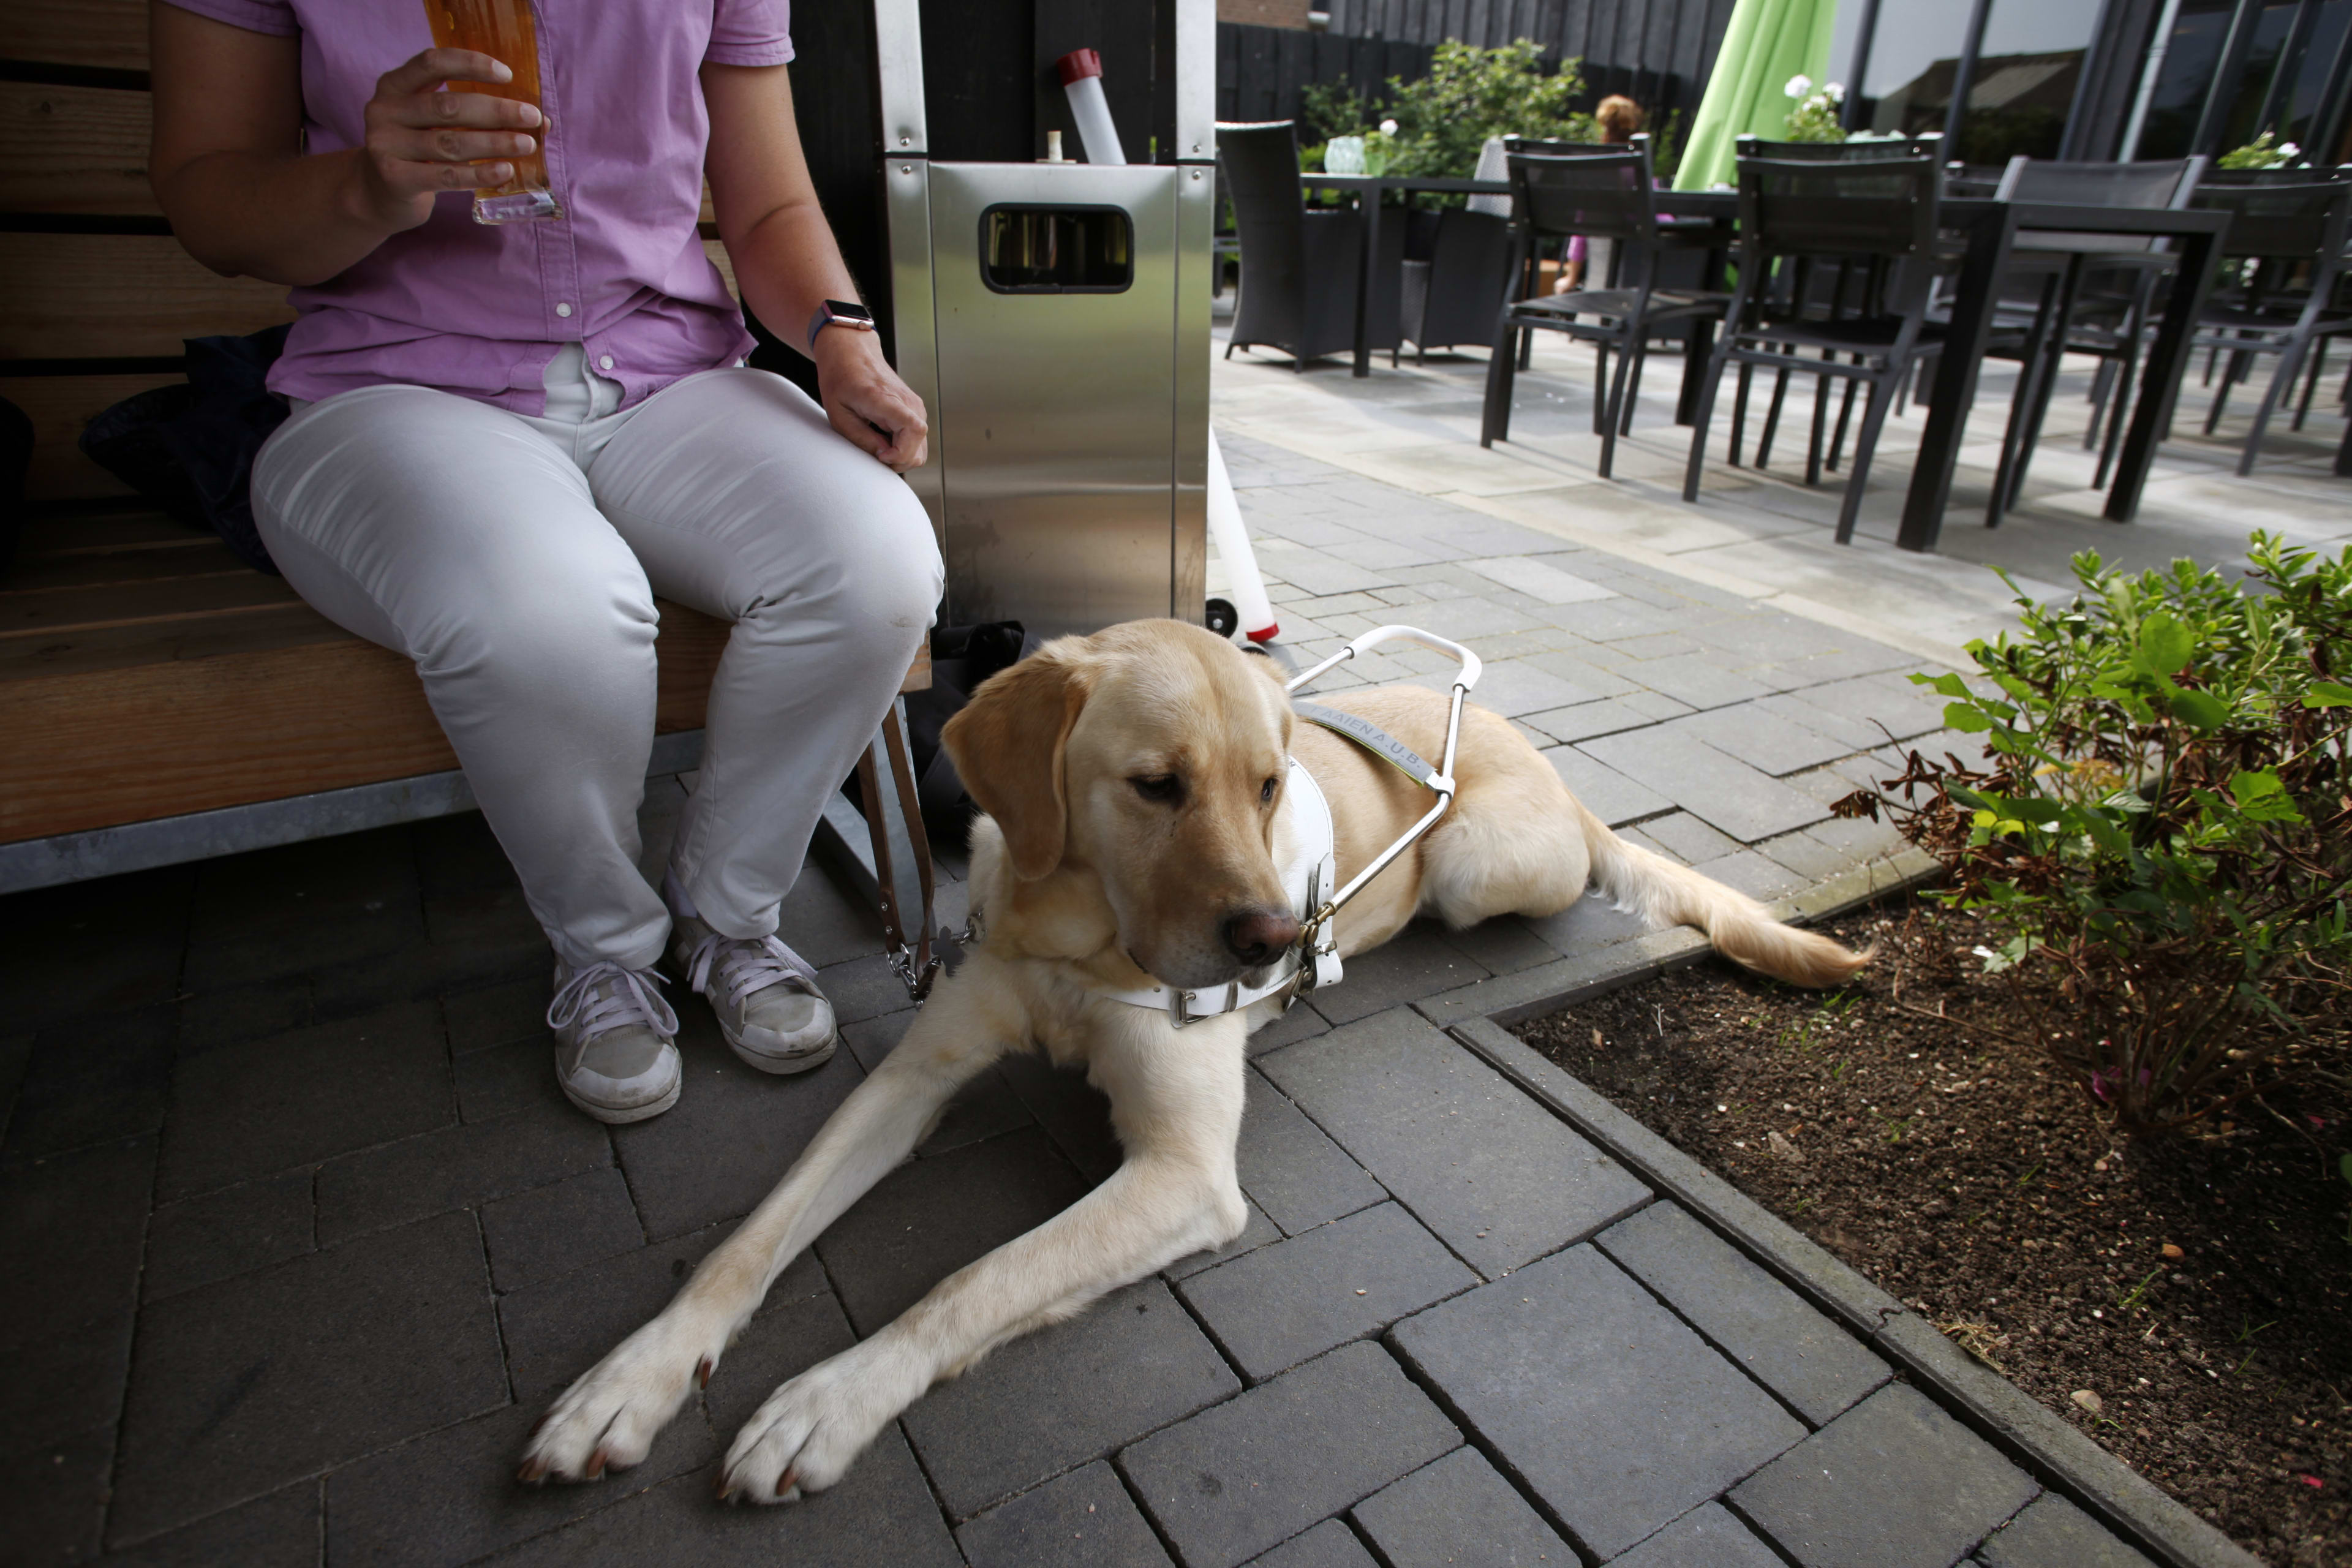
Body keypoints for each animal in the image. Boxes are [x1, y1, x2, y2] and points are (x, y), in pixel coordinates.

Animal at [519, 620, 1872, 1504]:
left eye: (1270, 786)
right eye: (1155, 785)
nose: (1275, 937)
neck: (1080, 946)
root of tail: (1551, 766)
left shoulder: (1180, 1173)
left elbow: (973, 1283)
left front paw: (827, 1401)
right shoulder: (910, 1076)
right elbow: (752, 1239)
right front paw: (632, 1378)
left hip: (1485, 865)